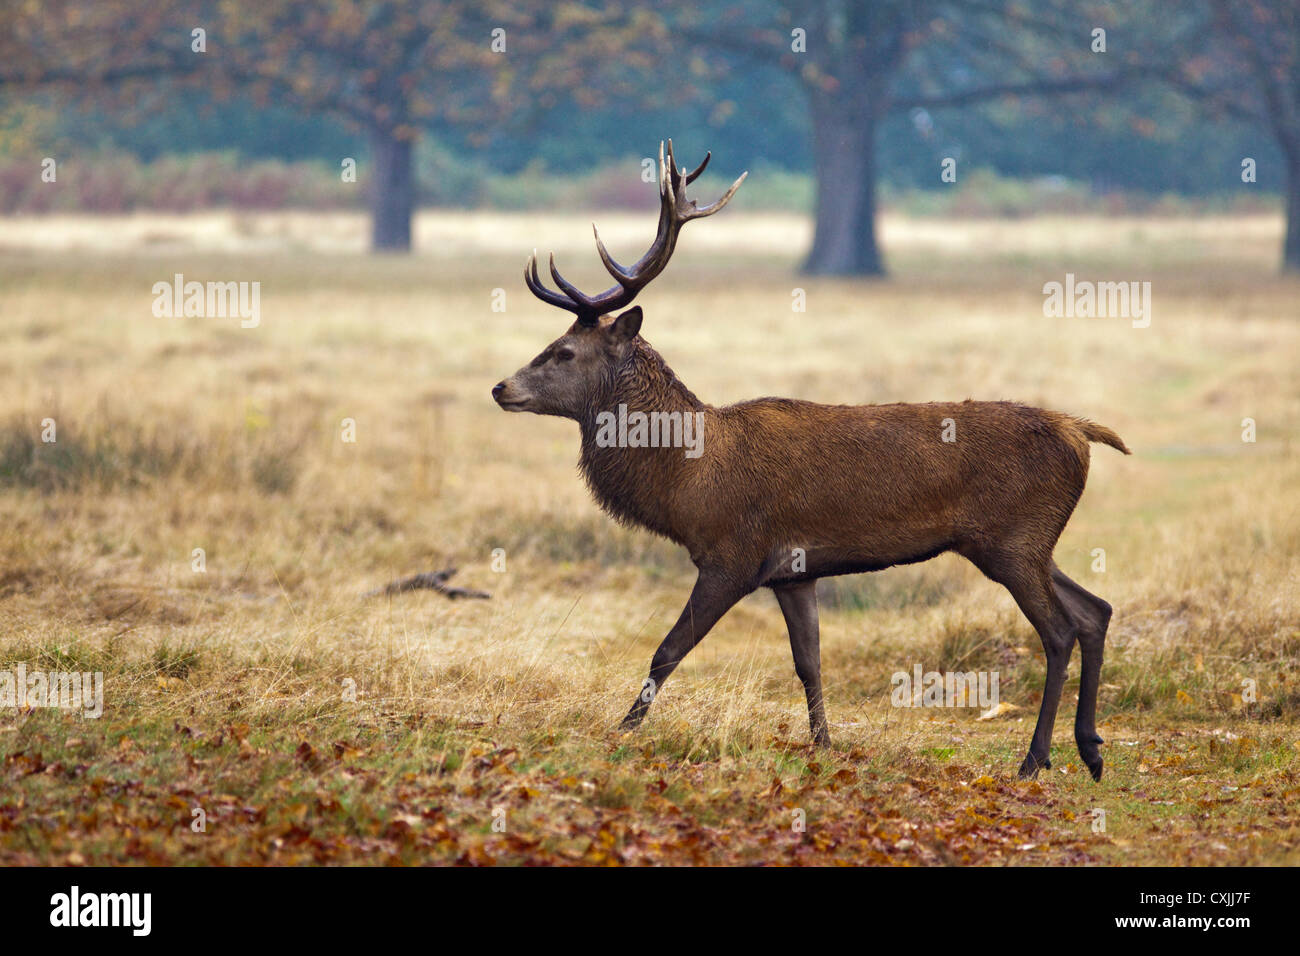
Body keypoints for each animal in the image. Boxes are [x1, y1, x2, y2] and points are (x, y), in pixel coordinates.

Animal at [488, 143, 1128, 785]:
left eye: (564, 351)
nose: (500, 387)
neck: (688, 480)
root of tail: (1082, 432)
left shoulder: (732, 555)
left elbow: (668, 650)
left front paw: (620, 732)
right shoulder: (794, 572)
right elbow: (809, 663)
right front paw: (824, 745)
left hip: (1013, 539)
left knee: (1060, 631)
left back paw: (1036, 758)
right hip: (1028, 542)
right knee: (1095, 610)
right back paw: (1091, 749)